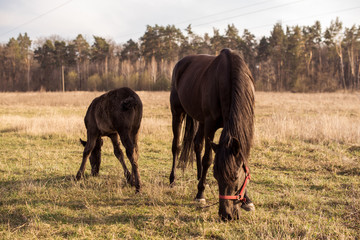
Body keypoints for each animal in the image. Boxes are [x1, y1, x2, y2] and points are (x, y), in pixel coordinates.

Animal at [169, 48, 256, 219]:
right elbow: (208, 159)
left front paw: (247, 200)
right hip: (178, 113)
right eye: (216, 176)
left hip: (200, 120)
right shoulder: (210, 125)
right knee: (176, 146)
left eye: (235, 177)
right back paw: (173, 180)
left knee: (197, 144)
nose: (226, 215)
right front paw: (200, 194)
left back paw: (199, 177)